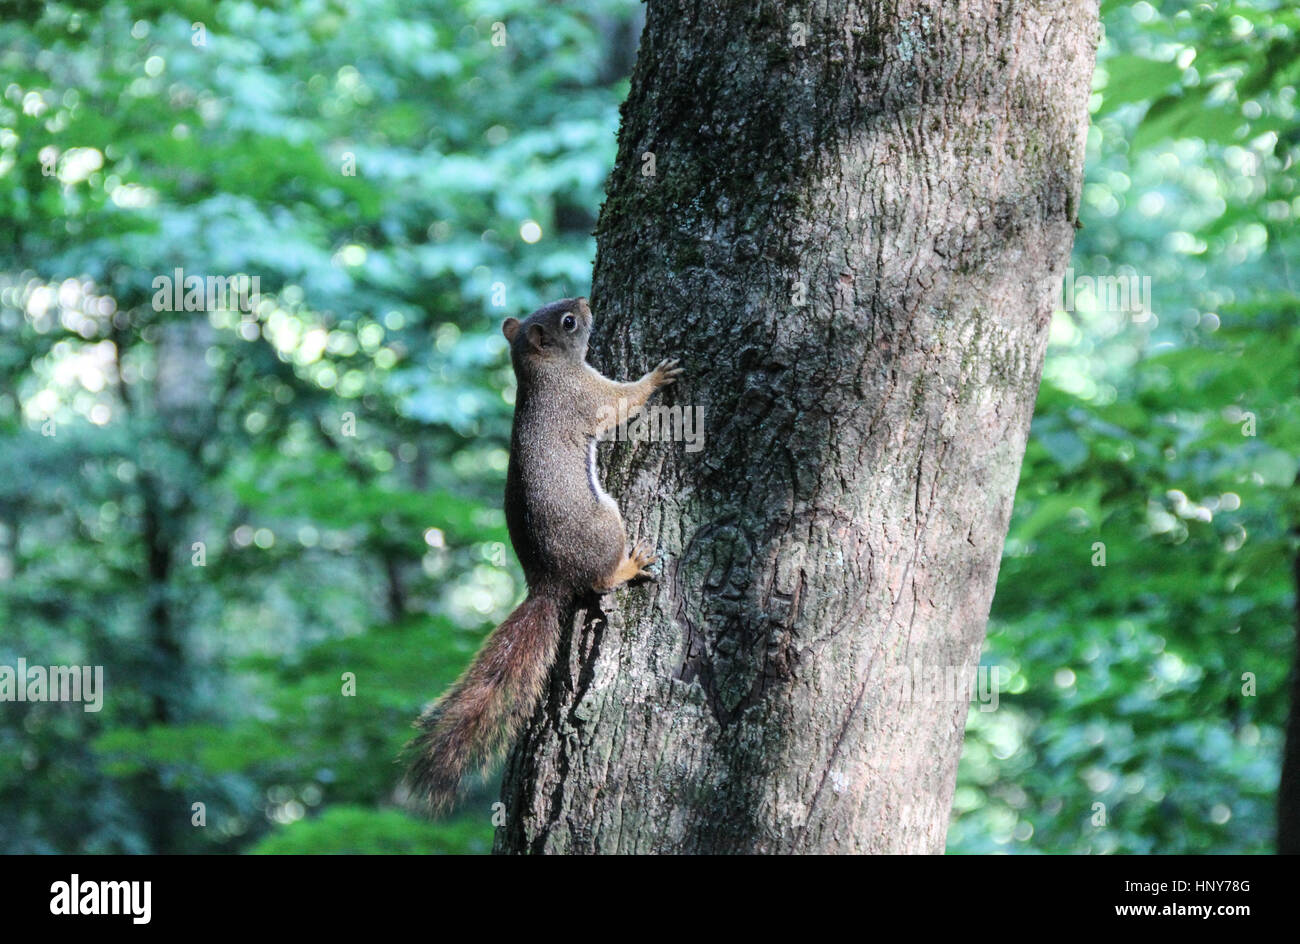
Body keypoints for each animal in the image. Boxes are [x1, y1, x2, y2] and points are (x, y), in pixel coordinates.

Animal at [405, 296, 681, 811]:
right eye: (568, 322)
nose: (584, 301)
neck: (542, 372)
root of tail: (548, 581)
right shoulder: (587, 395)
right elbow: (624, 401)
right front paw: (657, 377)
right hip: (606, 524)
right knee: (601, 580)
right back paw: (630, 565)